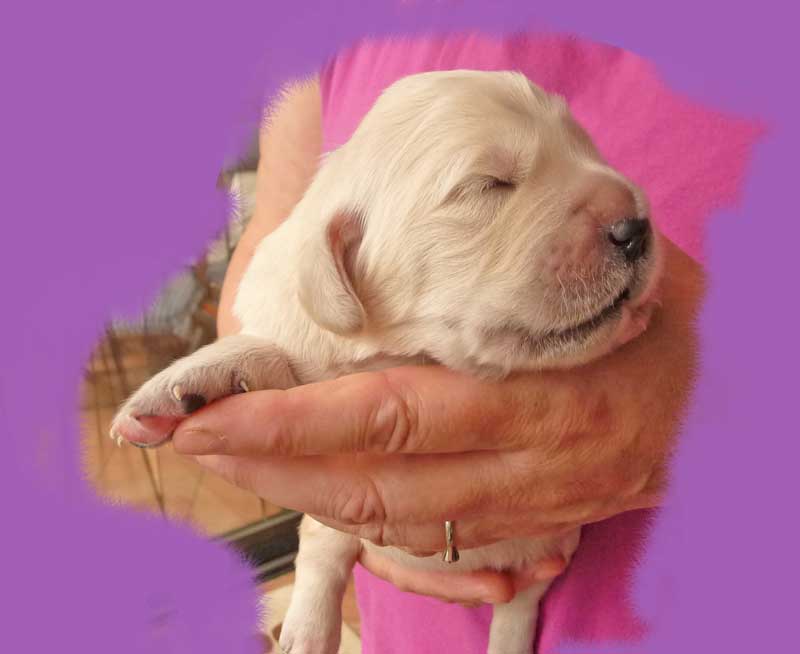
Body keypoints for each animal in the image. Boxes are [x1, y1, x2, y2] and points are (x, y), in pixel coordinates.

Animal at [111, 70, 662, 654]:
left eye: (586, 147)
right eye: (488, 184)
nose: (637, 226)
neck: (420, 354)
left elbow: (517, 607)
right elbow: (287, 381)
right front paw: (190, 383)